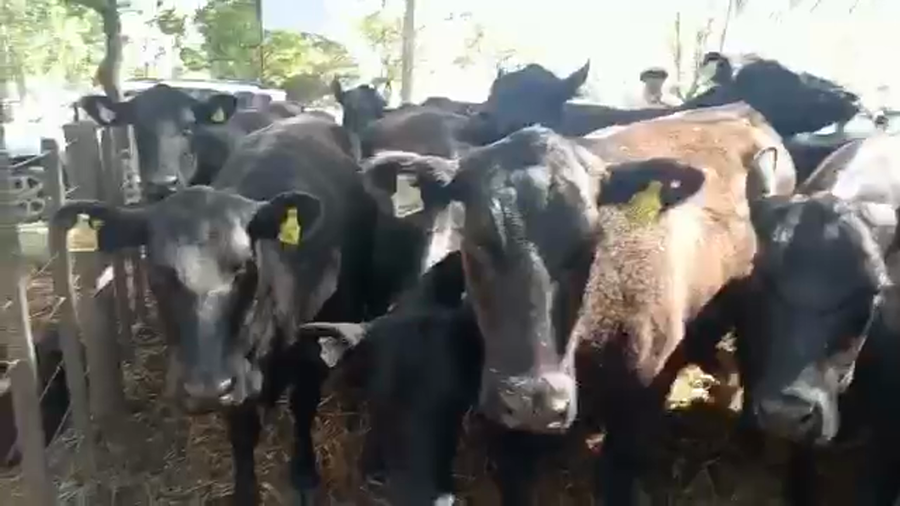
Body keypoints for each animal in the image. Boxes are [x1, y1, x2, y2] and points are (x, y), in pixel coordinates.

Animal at [51, 116, 377, 505]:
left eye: (244, 266)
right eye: (157, 271)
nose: (205, 388)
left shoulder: (316, 345)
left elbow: (304, 405)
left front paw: (304, 473)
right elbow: (242, 431)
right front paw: (245, 491)